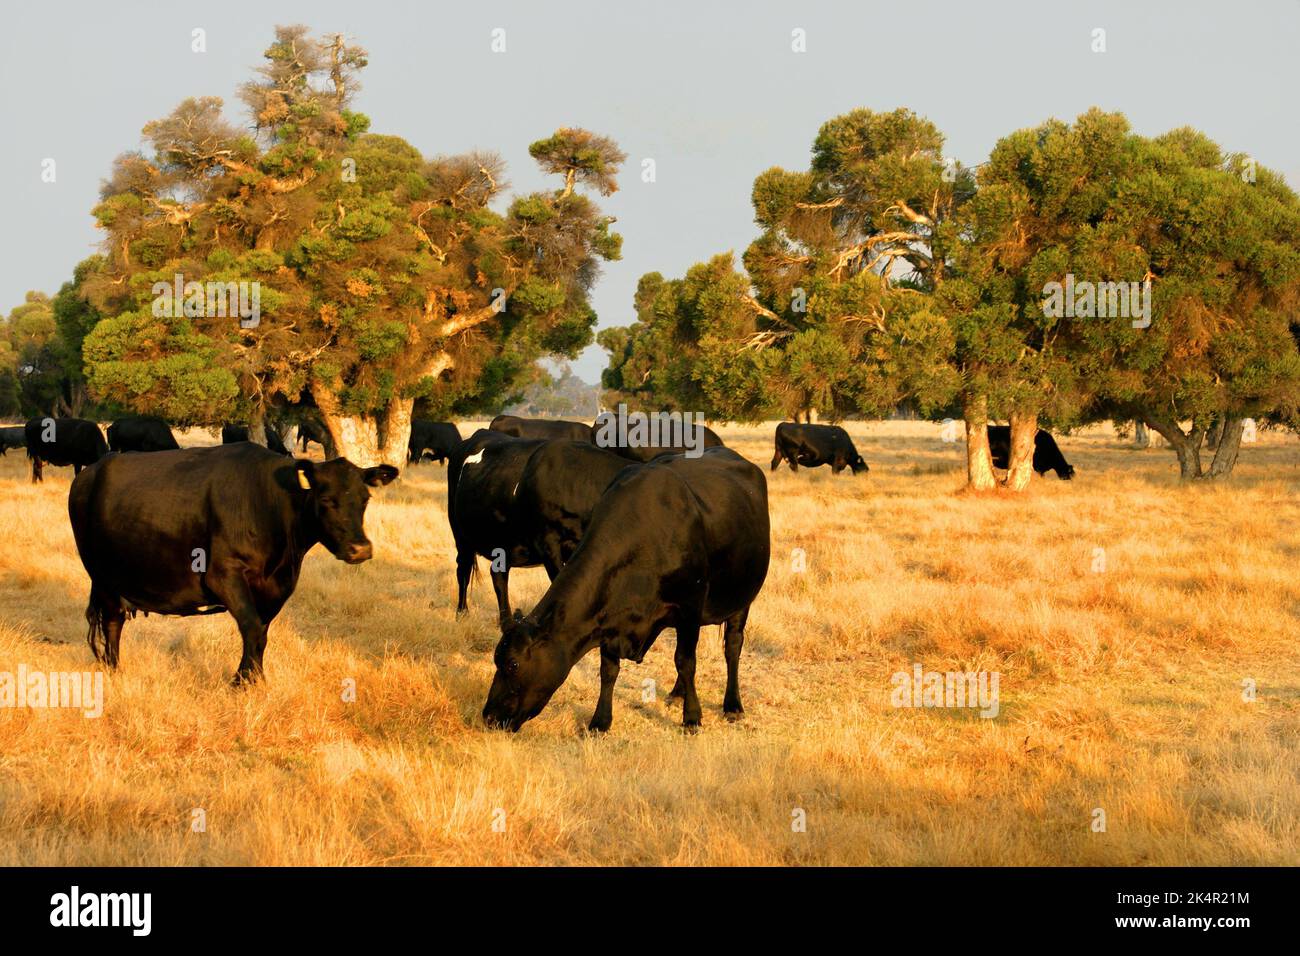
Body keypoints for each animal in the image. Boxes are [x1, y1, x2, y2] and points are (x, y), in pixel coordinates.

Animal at [67, 443, 398, 683]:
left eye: (365, 499)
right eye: (327, 499)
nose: (360, 549)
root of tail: (90, 471)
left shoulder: (276, 586)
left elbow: (262, 633)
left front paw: (253, 679)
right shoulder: (223, 574)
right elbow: (251, 628)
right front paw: (241, 683)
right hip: (103, 576)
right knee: (112, 622)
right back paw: (114, 670)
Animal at [482, 446, 771, 734]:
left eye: (513, 664)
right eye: (496, 660)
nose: (488, 716)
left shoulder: (690, 605)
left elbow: (685, 661)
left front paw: (692, 718)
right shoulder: (608, 617)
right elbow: (608, 670)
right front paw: (600, 721)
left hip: (742, 597)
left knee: (732, 646)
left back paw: (732, 705)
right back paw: (677, 693)